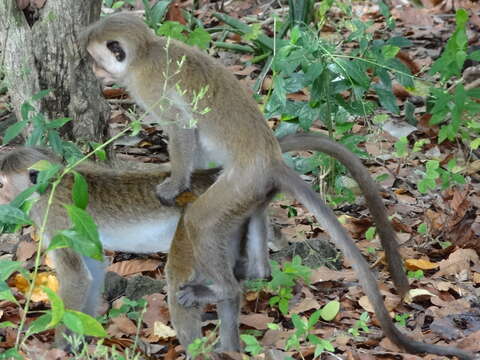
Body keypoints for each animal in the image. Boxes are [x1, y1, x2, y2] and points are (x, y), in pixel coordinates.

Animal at [81, 13, 472, 358]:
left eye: (96, 55)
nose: (92, 67)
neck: (146, 51)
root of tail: (270, 158)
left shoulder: (148, 85)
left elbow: (182, 128)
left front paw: (175, 184)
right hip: (251, 188)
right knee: (248, 216)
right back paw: (254, 272)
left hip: (241, 181)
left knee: (202, 221)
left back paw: (223, 288)